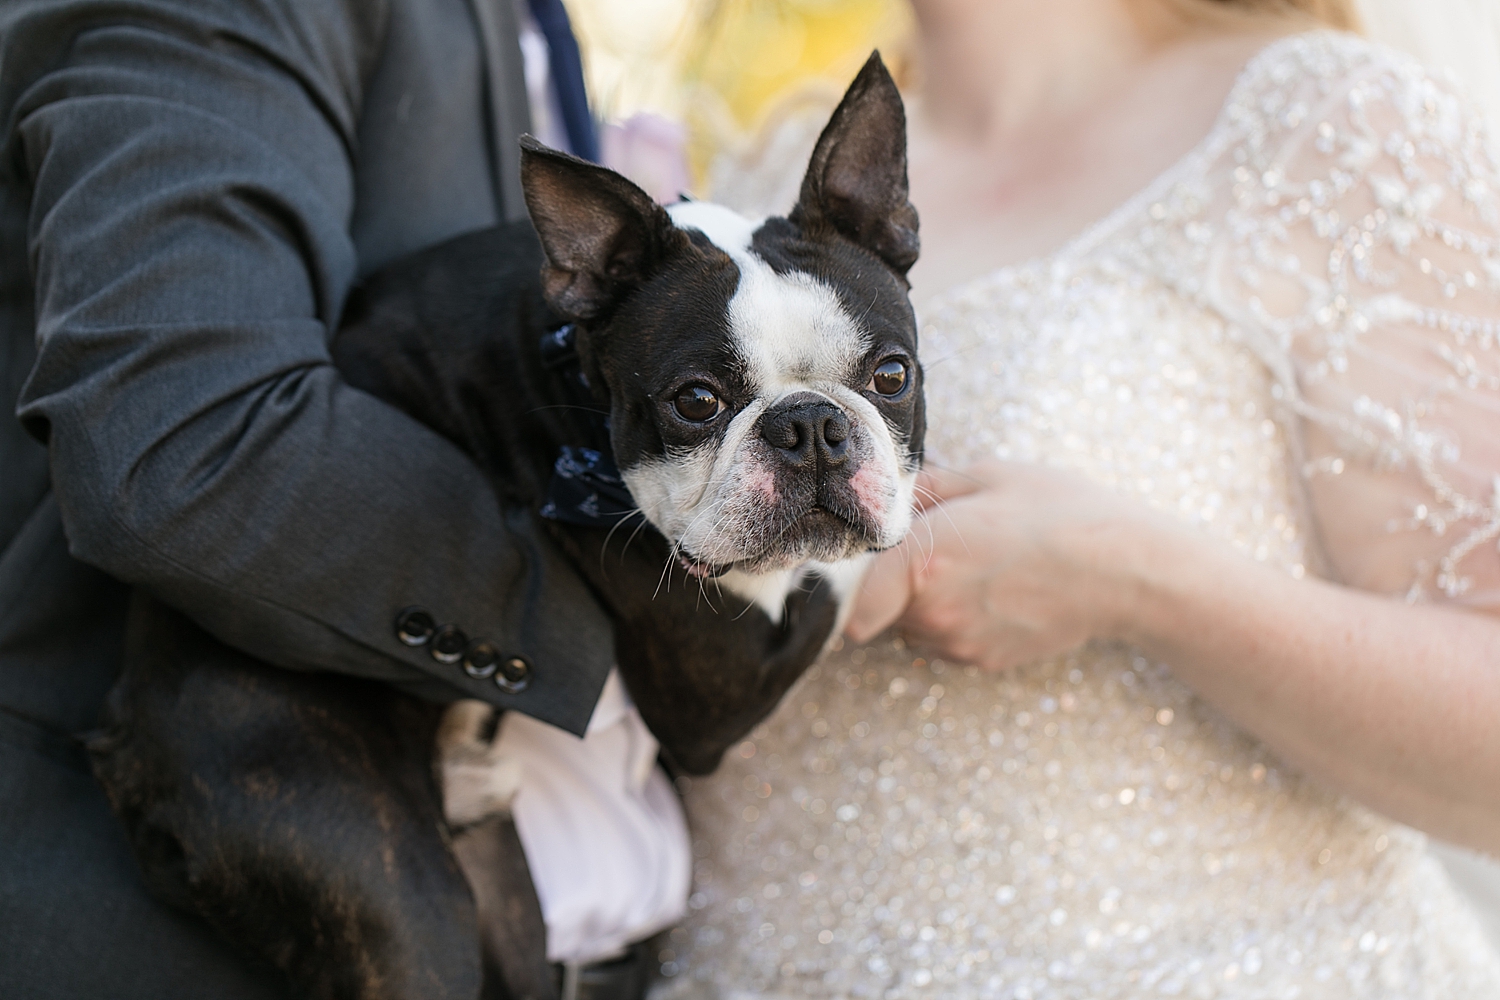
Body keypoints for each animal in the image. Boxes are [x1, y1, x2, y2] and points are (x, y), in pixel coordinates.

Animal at [93, 52, 918, 1000]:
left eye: (893, 375)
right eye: (696, 401)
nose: (809, 424)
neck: (571, 365)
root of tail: (122, 747)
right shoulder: (714, 691)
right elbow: (840, 576)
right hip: (381, 888)